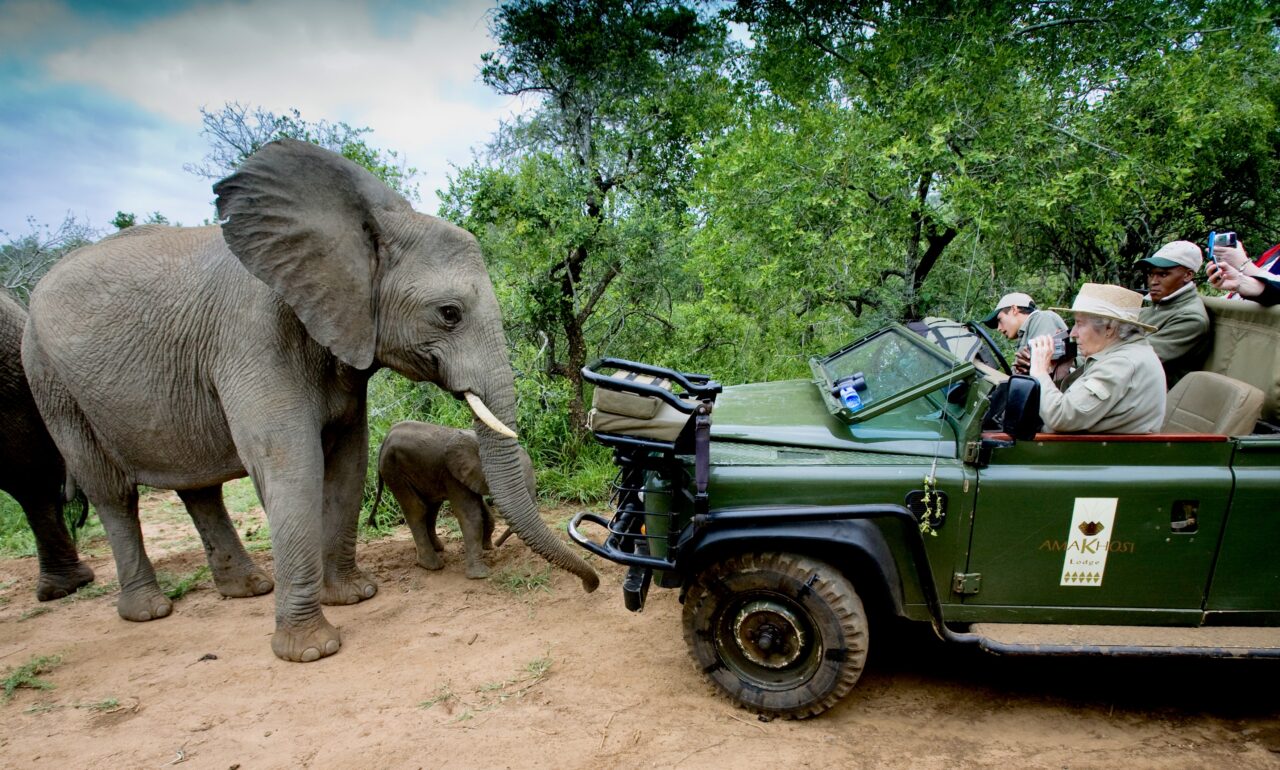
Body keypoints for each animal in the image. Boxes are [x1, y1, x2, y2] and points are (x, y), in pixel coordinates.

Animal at [373, 419, 532, 575]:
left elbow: (483, 511)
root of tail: (385, 439)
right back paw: (432, 565)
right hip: (393, 471)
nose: (497, 545)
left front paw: (487, 548)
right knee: (417, 508)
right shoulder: (453, 476)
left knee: (432, 507)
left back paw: (438, 548)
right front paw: (481, 575)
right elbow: (471, 515)